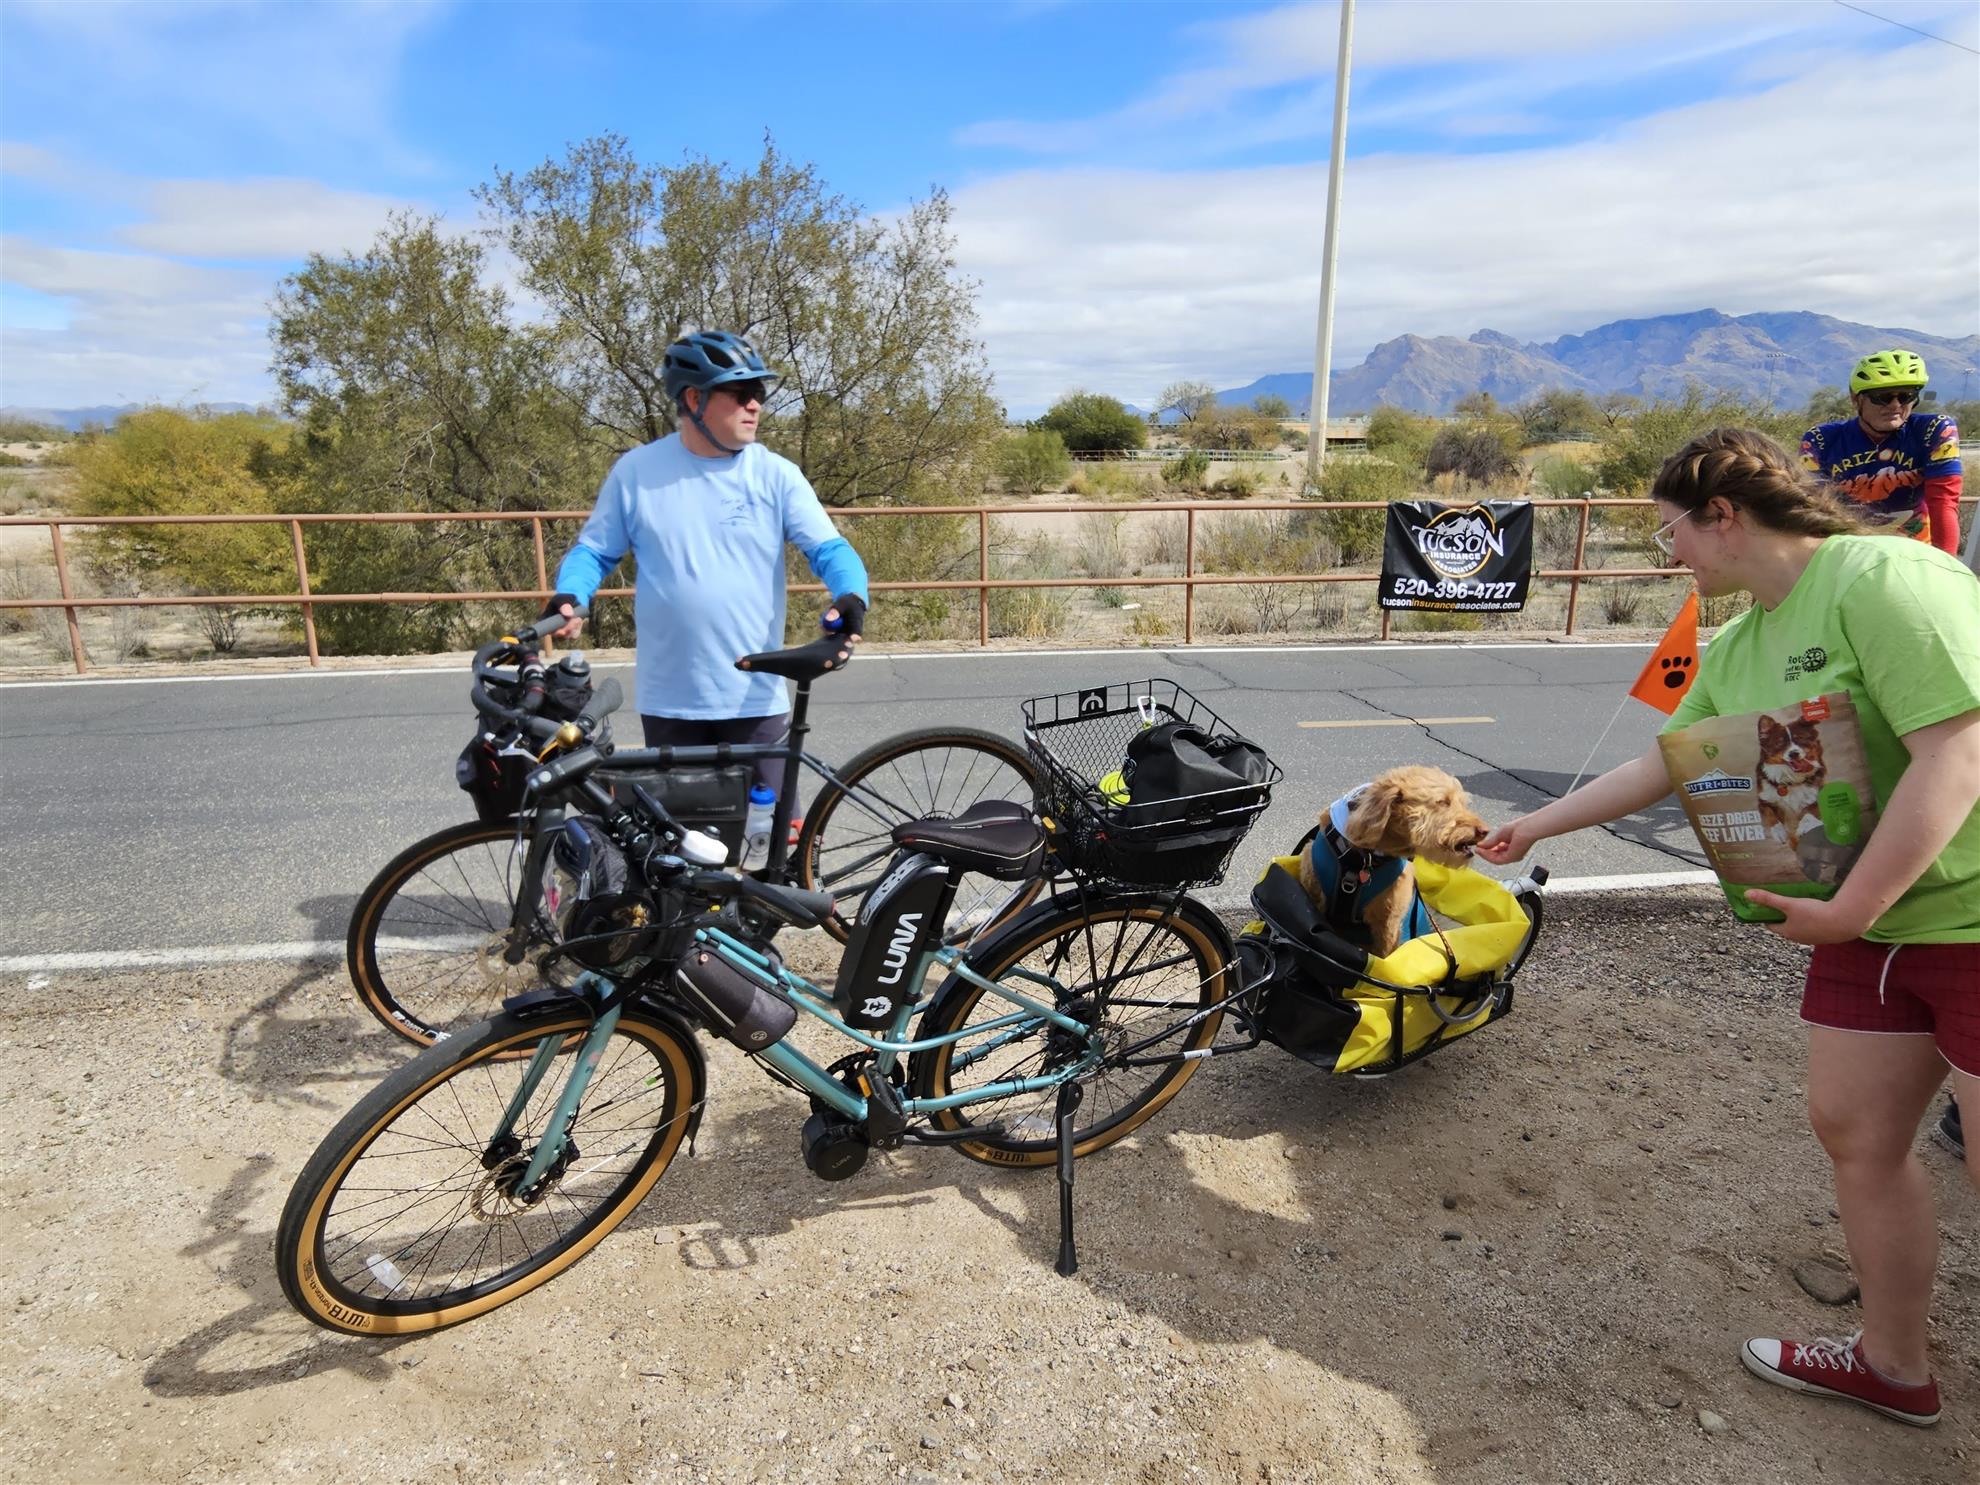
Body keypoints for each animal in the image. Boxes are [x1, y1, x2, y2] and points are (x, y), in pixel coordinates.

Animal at [1297, 765, 1489, 955]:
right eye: (1443, 801)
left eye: (1463, 803)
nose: (1484, 831)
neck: (1363, 859)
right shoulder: (1313, 894)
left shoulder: (1388, 922)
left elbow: (1385, 955)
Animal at [1754, 714, 1826, 853]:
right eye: (1780, 743)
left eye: (1800, 739)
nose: (1793, 754)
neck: (1791, 781)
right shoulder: (1764, 801)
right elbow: (1770, 814)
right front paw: (1779, 832)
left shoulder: (1816, 797)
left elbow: (1808, 812)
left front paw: (1803, 827)